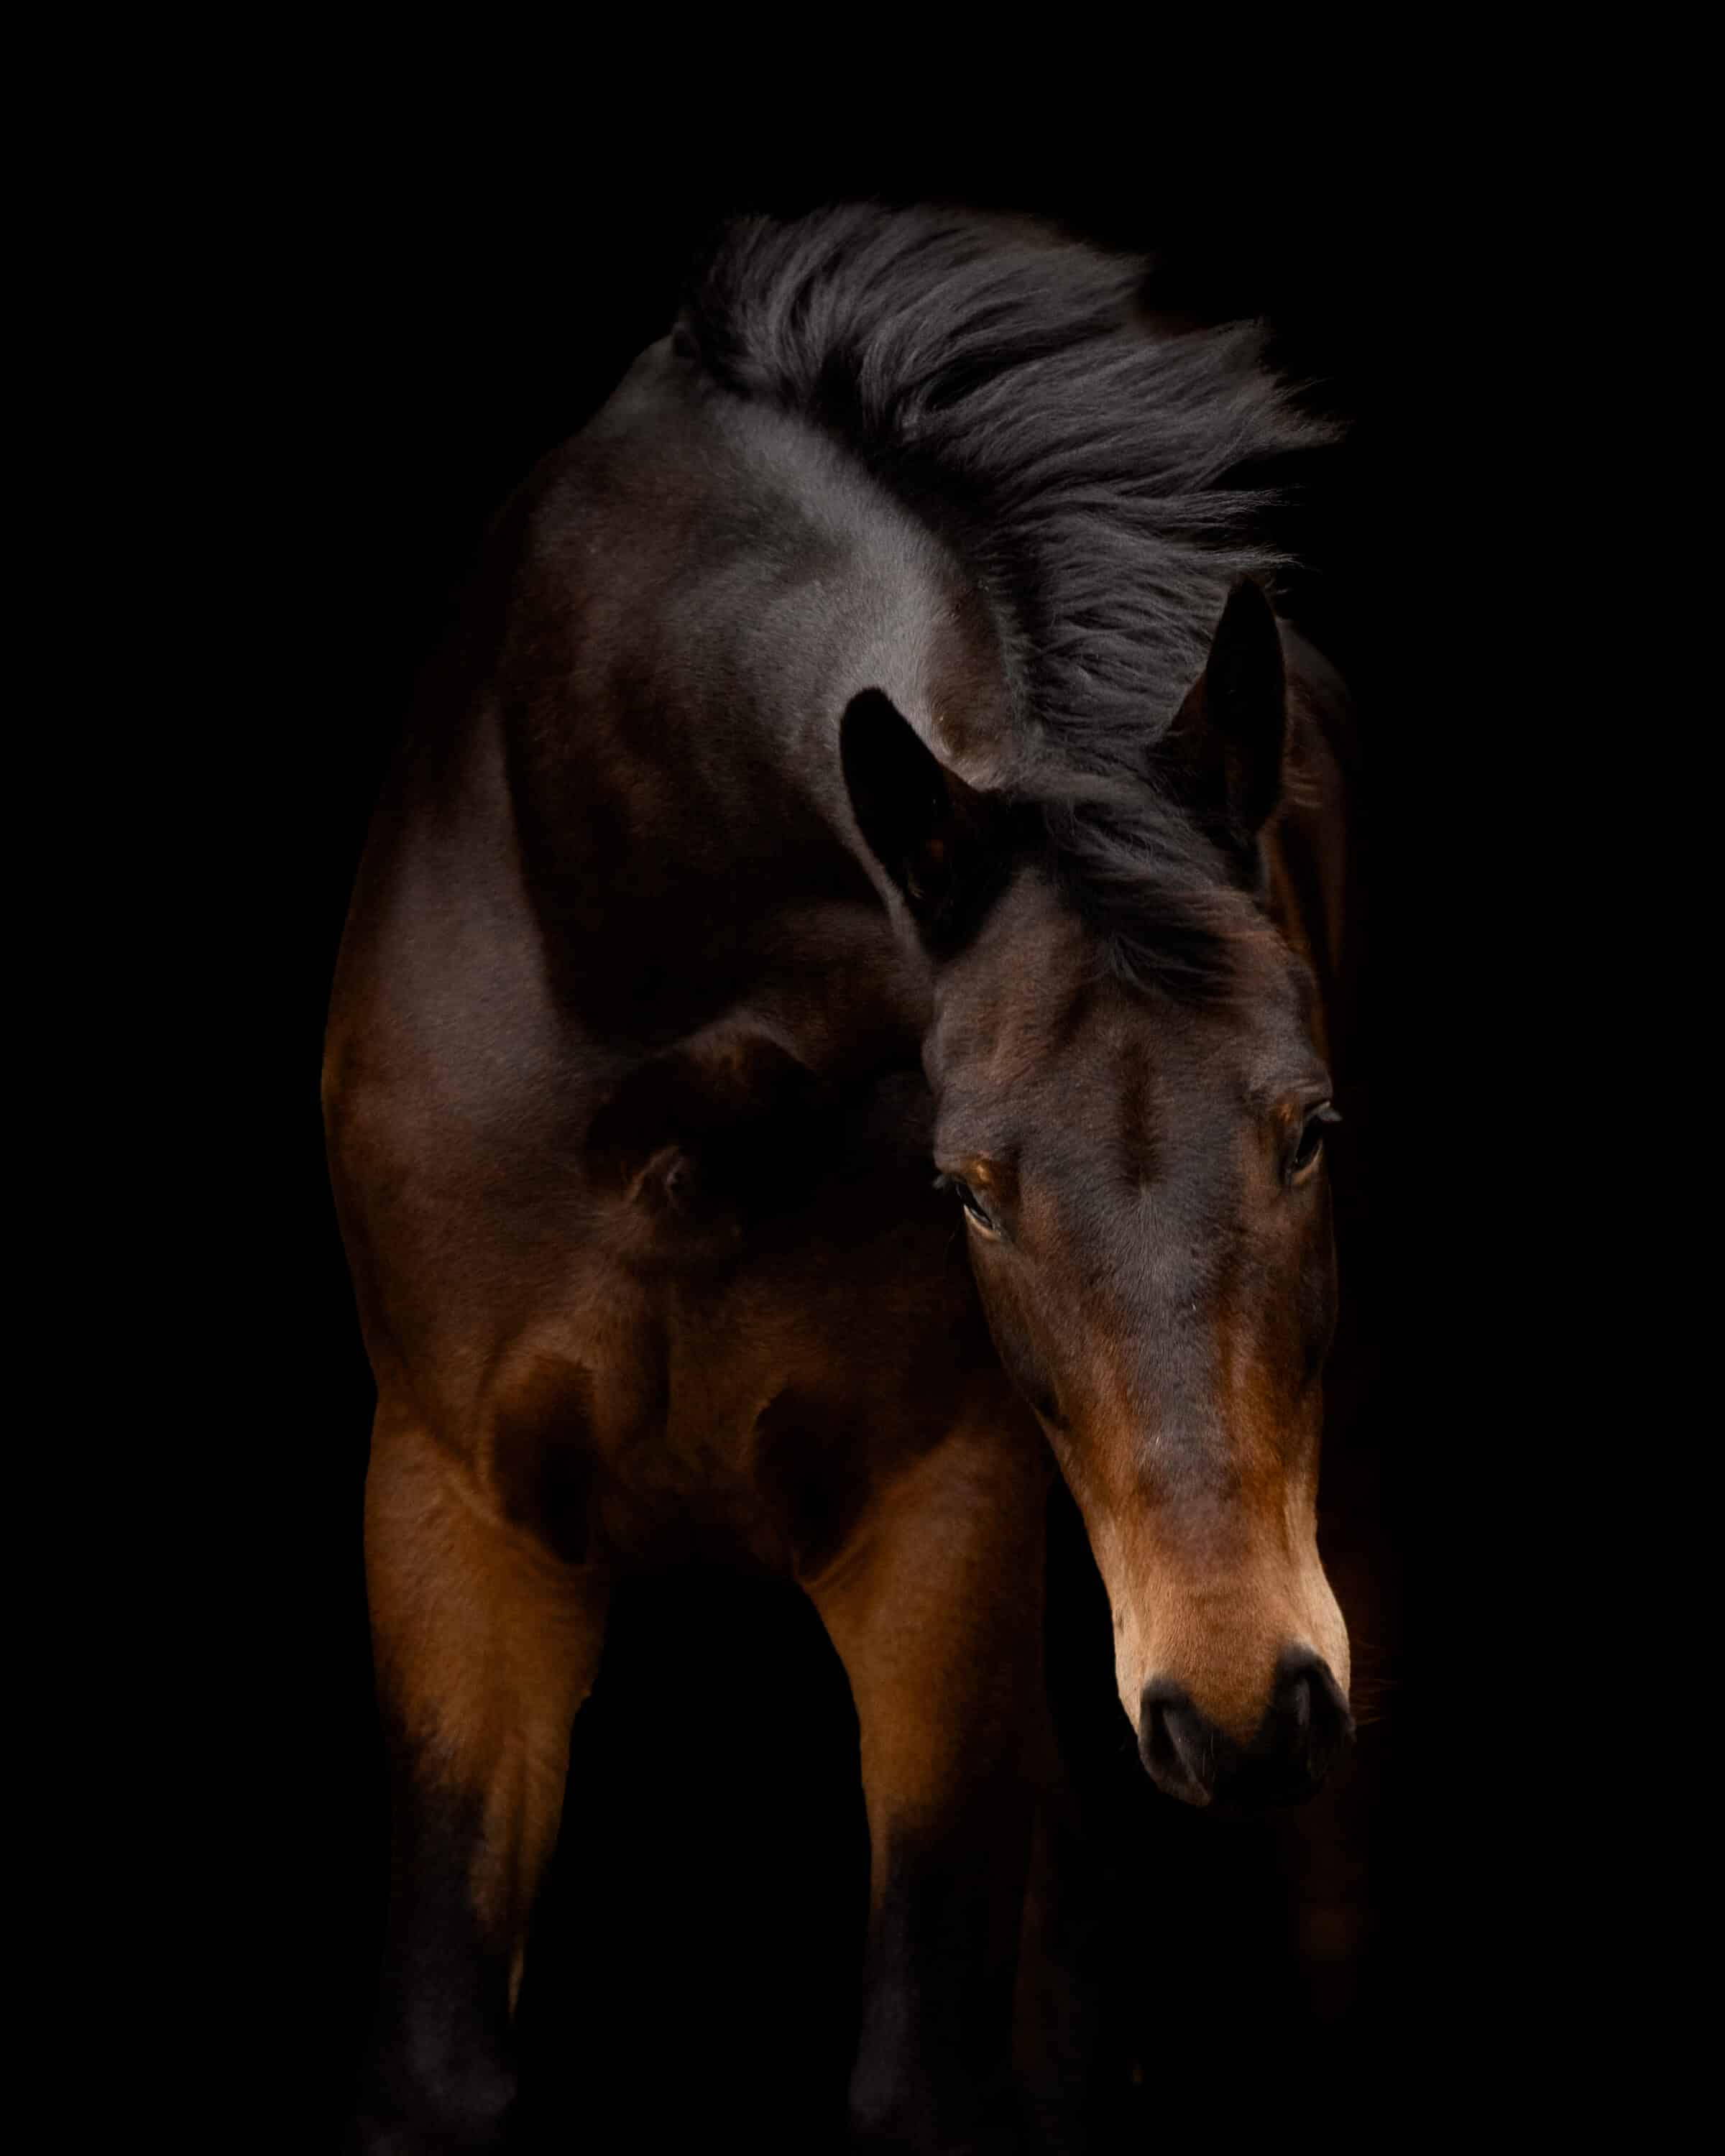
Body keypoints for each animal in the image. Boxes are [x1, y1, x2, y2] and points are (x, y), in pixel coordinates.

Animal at [324, 203, 1358, 2154]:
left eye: (1309, 1127)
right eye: (969, 1184)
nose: (1241, 1699)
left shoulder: (939, 1530)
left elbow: (920, 2063)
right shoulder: (453, 1518)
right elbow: (440, 2059)